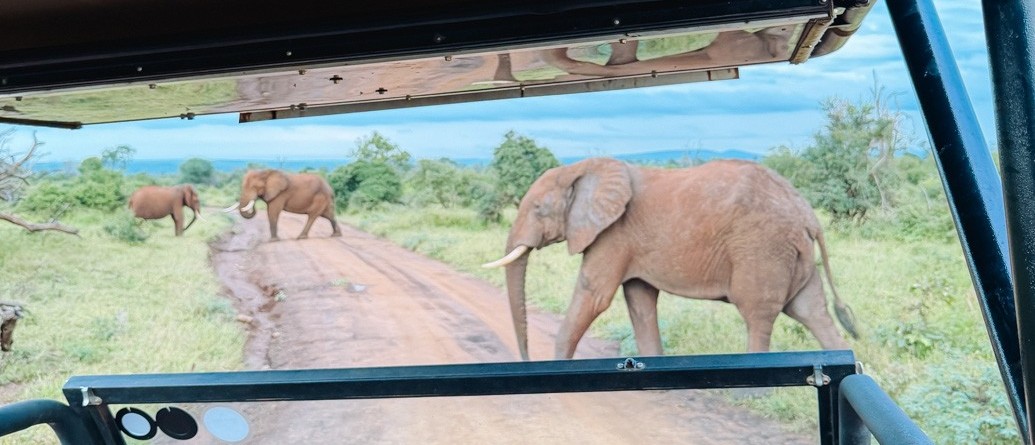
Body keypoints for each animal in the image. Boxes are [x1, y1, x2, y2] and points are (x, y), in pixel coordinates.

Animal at [483, 158, 858, 360]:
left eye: (538, 209)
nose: (526, 359)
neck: (582, 167)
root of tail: (807, 213)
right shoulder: (627, 243)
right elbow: (639, 301)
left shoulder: (614, 234)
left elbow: (594, 294)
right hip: (792, 255)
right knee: (812, 311)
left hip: (762, 249)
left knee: (758, 316)